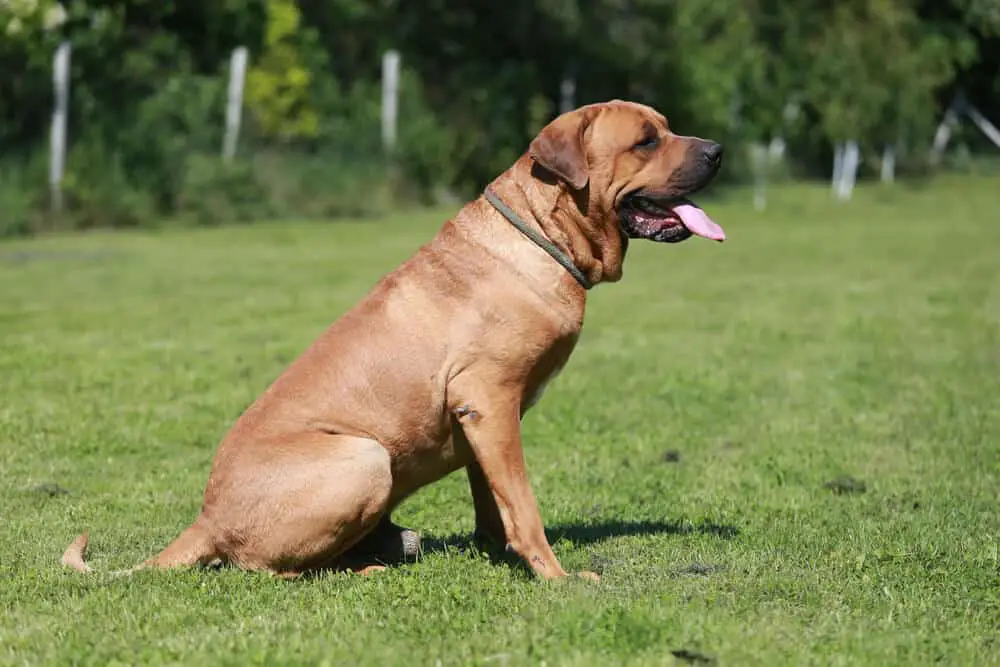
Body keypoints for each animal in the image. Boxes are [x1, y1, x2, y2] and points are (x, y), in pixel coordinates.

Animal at [62, 99, 724, 580]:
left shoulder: (482, 417)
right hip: (363, 457)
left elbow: (493, 500)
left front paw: (496, 552)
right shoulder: (490, 400)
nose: (717, 150)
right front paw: (556, 578)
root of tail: (205, 520)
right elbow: (524, 504)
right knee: (265, 569)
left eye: (667, 128)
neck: (540, 234)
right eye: (645, 140)